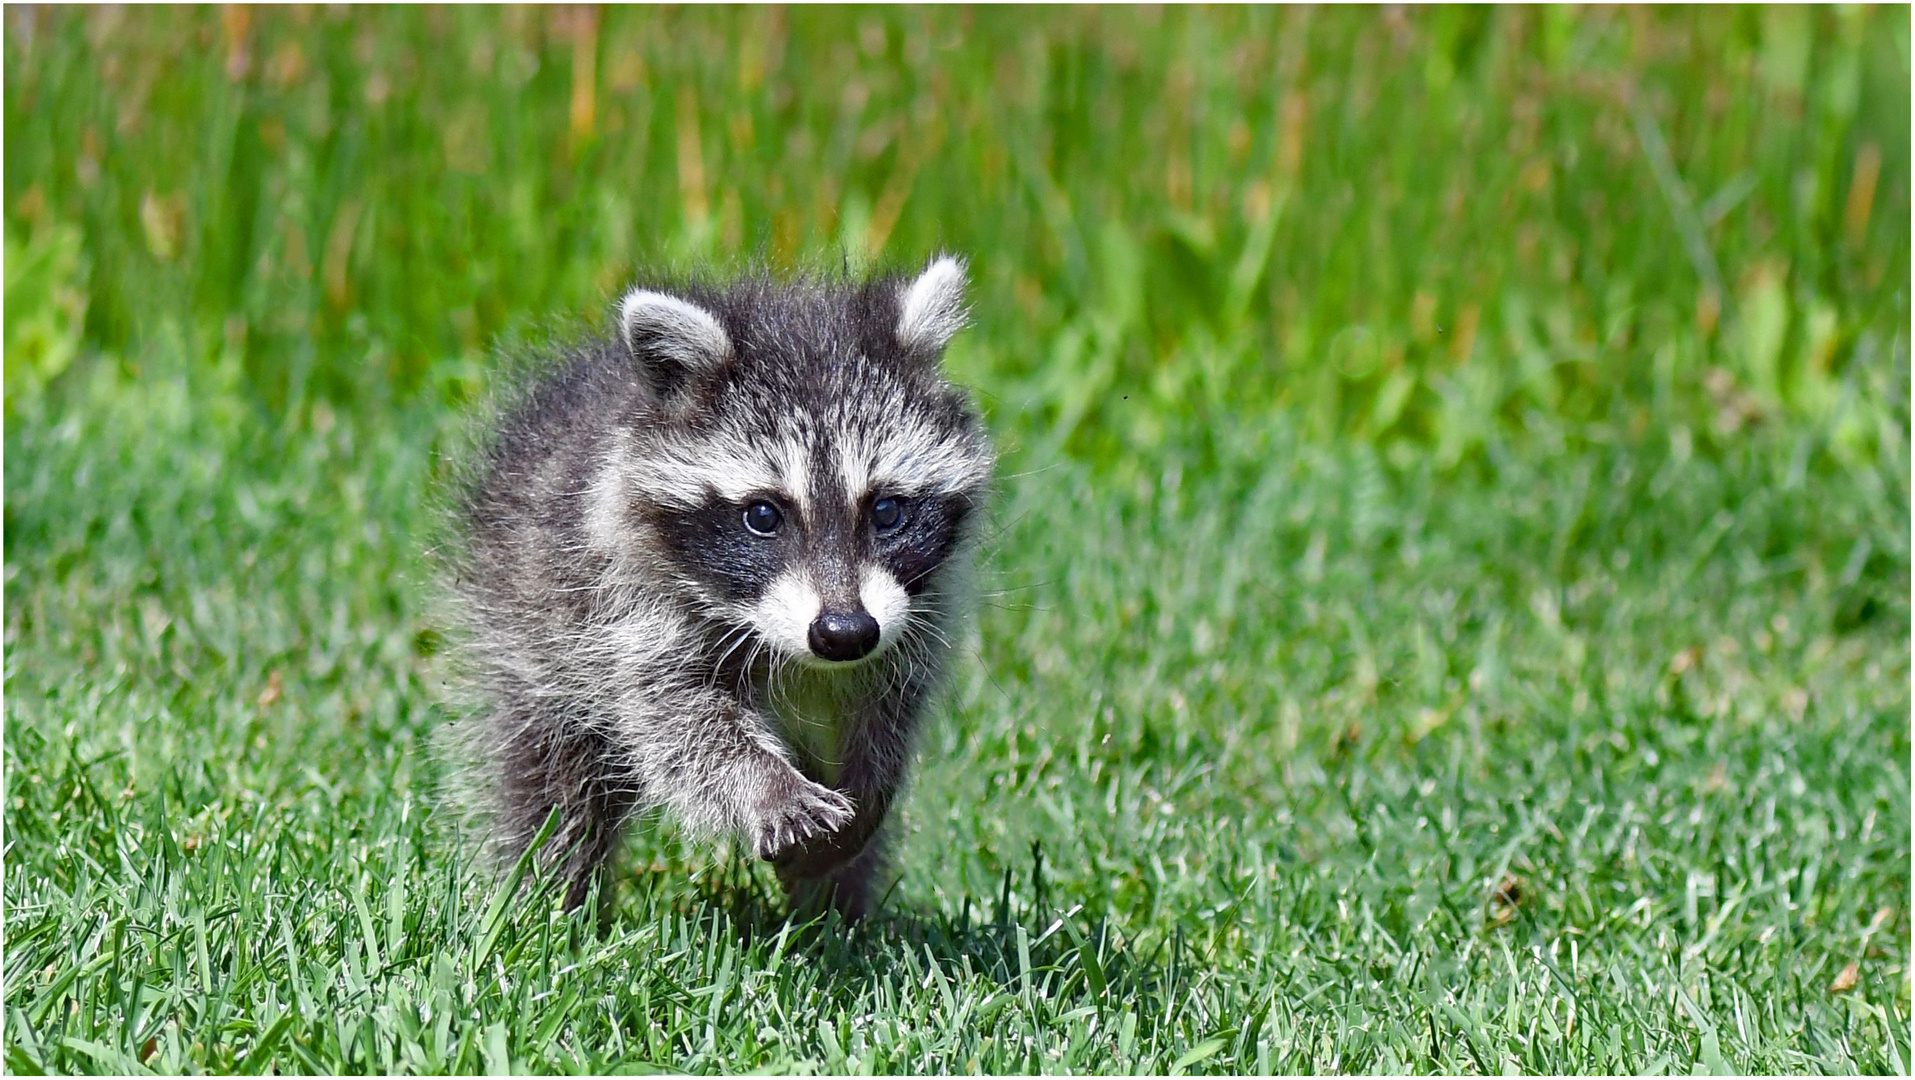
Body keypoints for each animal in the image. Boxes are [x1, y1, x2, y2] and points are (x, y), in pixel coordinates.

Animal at [442, 254, 995, 919]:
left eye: (887, 511)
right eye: (763, 515)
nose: (844, 633)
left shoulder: (916, 617)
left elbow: (891, 714)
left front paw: (866, 799)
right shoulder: (626, 606)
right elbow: (680, 720)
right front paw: (767, 788)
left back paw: (837, 917)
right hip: (530, 629)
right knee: (551, 784)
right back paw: (548, 904)